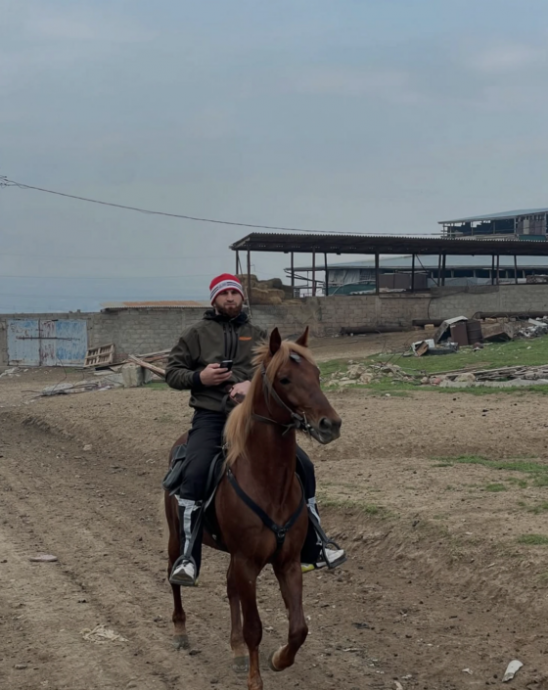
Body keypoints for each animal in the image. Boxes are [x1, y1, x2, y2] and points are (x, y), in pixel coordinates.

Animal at [165, 326, 340, 688]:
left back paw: (235, 651)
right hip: (176, 537)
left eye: (317, 374)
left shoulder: (286, 562)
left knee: (230, 588)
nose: (330, 424)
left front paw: (278, 660)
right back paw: (180, 630)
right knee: (174, 577)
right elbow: (254, 628)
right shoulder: (247, 562)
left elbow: (299, 628)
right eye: (285, 378)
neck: (268, 483)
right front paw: (255, 680)